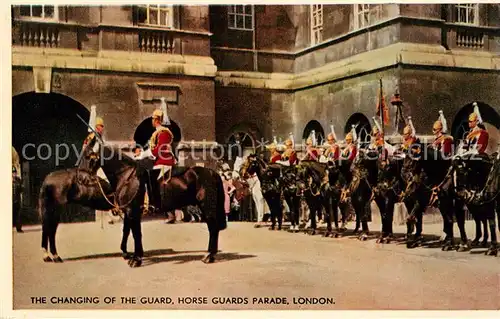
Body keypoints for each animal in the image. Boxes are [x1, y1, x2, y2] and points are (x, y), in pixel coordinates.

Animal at [39, 145, 227, 268]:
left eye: (89, 157)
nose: (82, 179)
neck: (125, 176)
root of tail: (211, 172)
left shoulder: (132, 210)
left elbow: (135, 234)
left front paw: (134, 258)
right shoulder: (128, 211)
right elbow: (129, 232)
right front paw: (130, 254)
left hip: (206, 205)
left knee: (213, 228)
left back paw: (209, 255)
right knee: (50, 229)